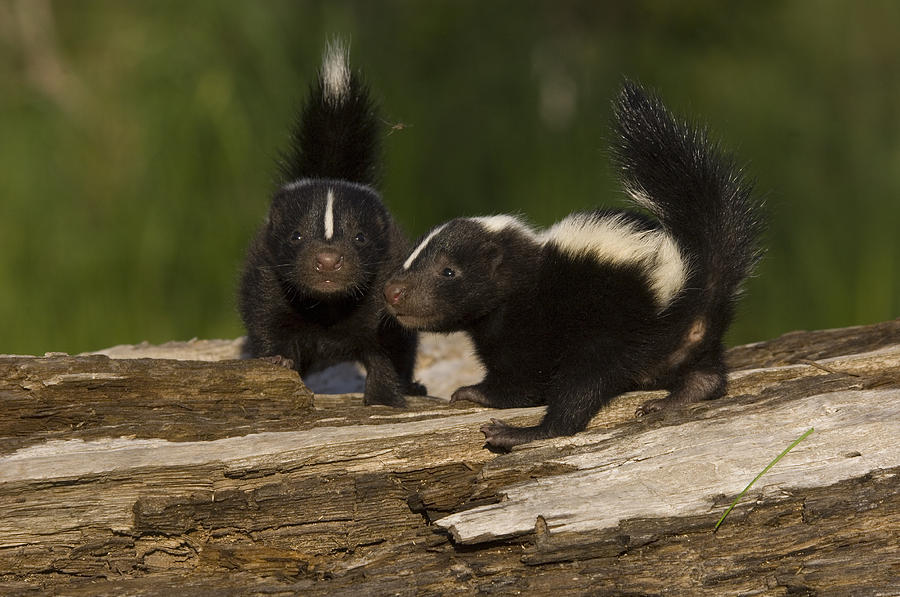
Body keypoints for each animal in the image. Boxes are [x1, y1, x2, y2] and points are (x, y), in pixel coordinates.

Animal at [237, 40, 424, 406]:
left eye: (360, 238)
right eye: (295, 236)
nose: (327, 259)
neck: (328, 307)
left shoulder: (385, 289)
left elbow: (387, 351)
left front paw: (385, 397)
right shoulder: (266, 280)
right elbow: (268, 326)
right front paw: (279, 364)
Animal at [384, 82, 768, 448]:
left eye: (448, 272)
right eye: (411, 258)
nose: (392, 291)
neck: (527, 278)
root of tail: (691, 273)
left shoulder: (529, 327)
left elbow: (523, 384)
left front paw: (473, 392)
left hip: (610, 332)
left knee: (580, 390)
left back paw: (523, 434)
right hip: (685, 337)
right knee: (706, 374)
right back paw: (678, 397)